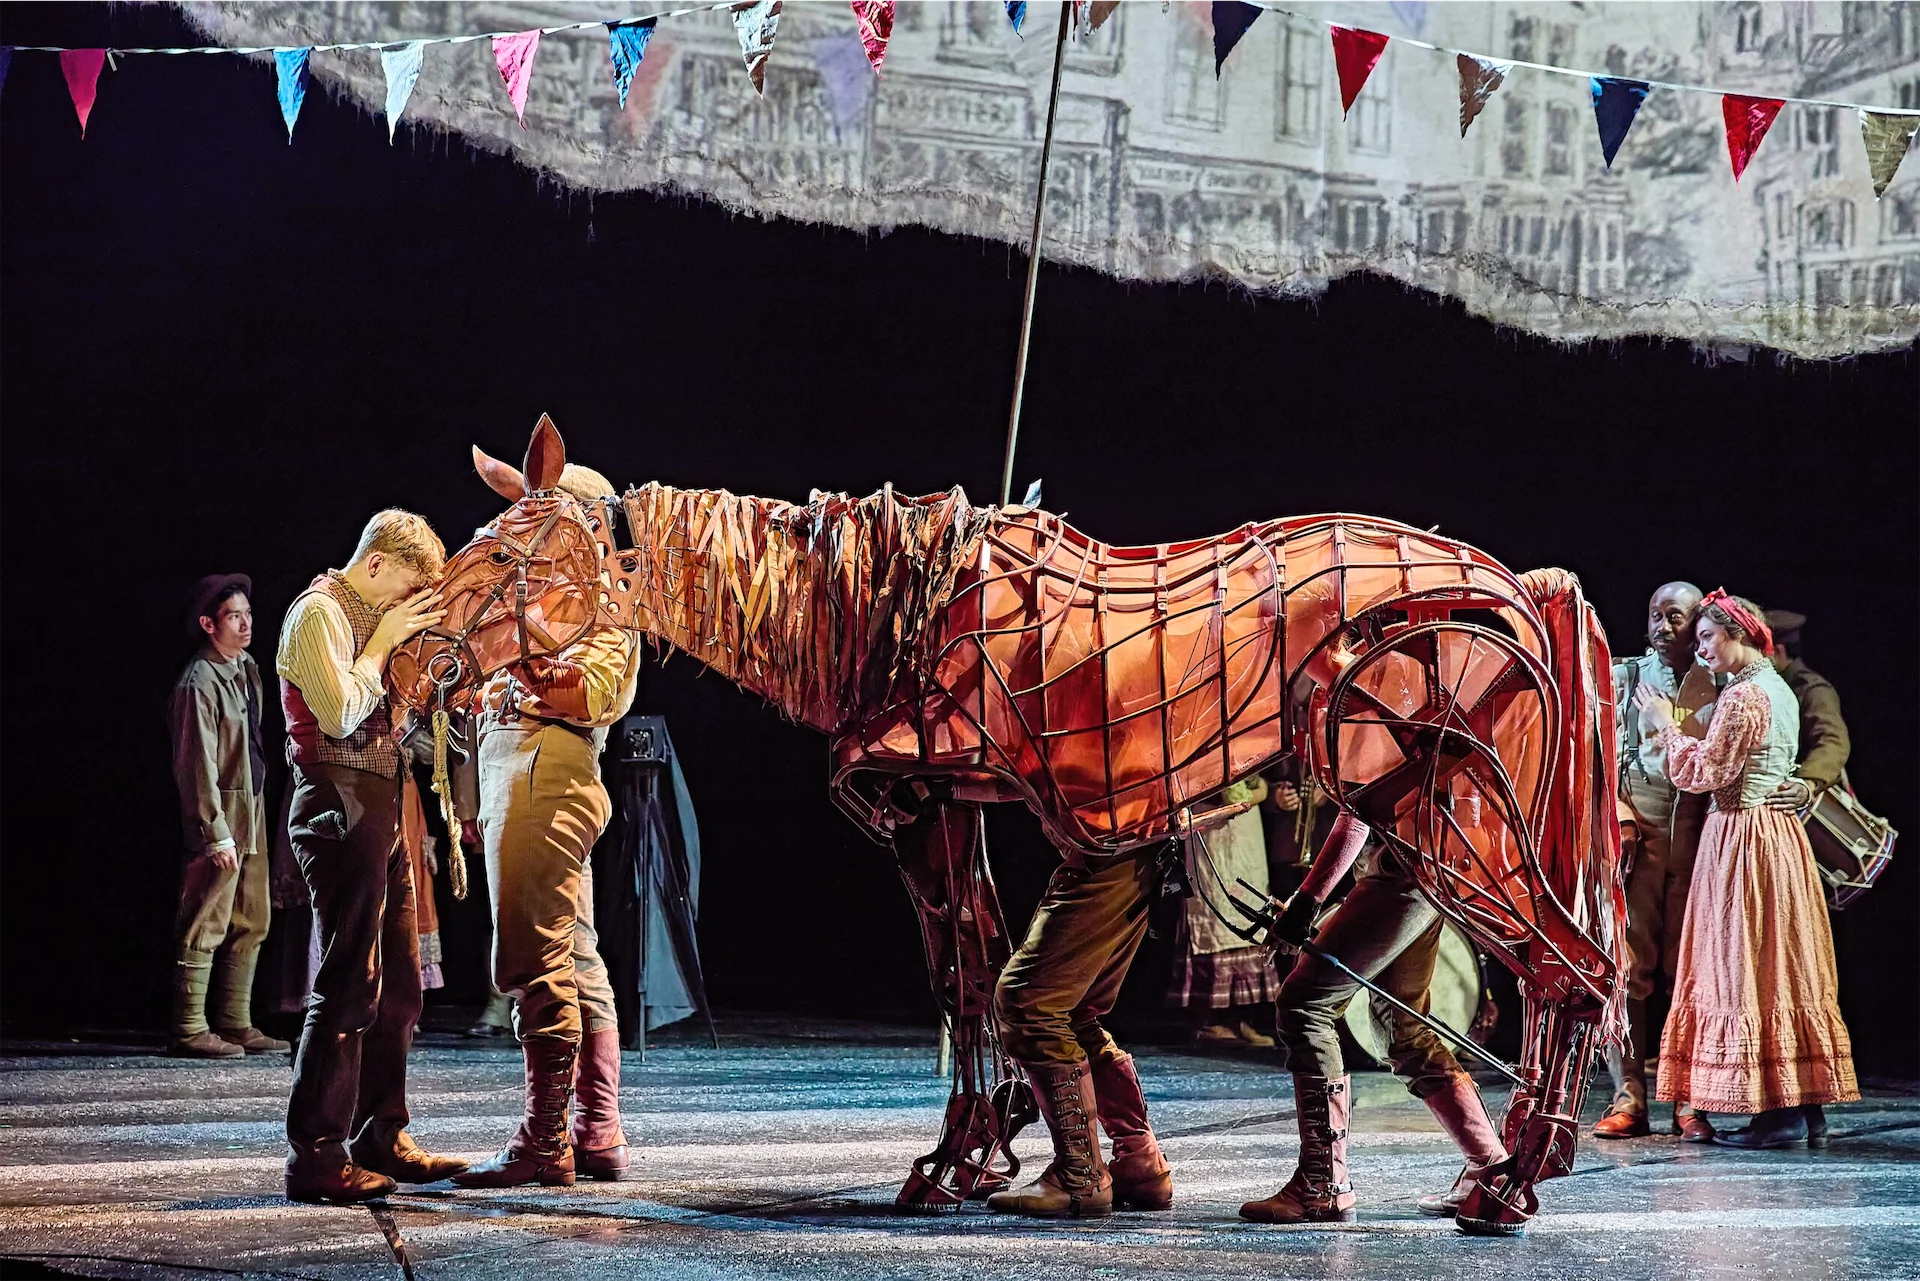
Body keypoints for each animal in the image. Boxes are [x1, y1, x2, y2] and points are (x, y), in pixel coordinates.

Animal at [391, 415, 1627, 1235]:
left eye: (506, 555)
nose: (408, 668)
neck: (880, 613)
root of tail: (1517, 581)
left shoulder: (918, 806)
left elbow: (964, 984)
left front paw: (957, 1161)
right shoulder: (962, 808)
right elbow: (992, 980)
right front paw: (1007, 1147)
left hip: (1449, 811)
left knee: (1574, 973)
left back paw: (1514, 1183)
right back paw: (1481, 1175)